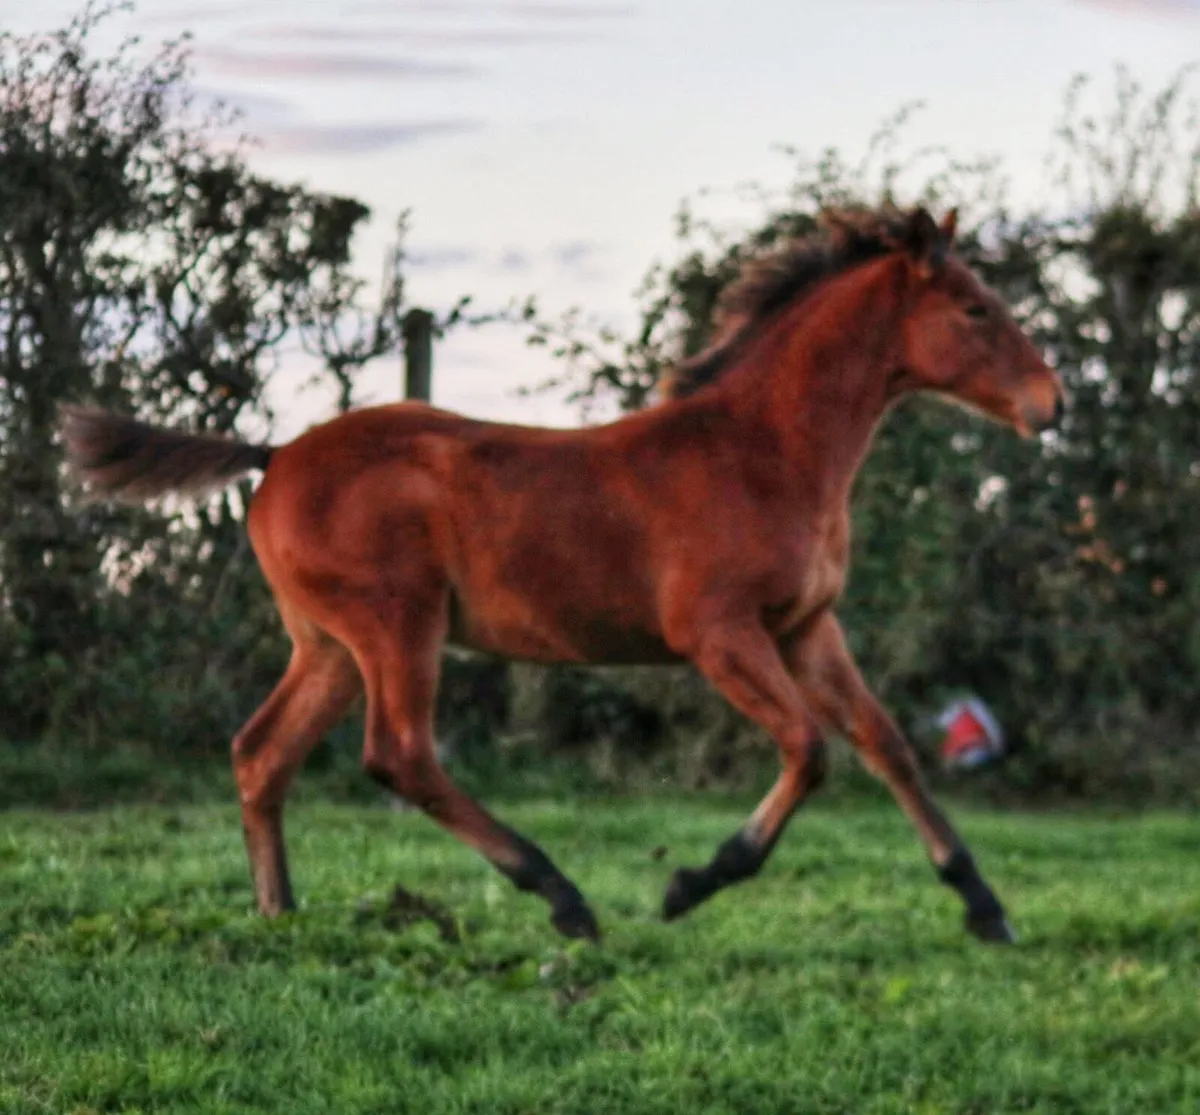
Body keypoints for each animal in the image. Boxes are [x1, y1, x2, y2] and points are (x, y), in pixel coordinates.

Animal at [60, 206, 1063, 945]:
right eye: (975, 309)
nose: (1050, 403)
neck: (762, 451)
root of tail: (273, 455)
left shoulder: (807, 626)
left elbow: (886, 743)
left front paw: (986, 907)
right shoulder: (718, 633)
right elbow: (811, 749)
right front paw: (691, 884)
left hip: (329, 643)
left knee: (262, 752)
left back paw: (279, 913)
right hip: (398, 622)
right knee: (399, 753)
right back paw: (564, 898)